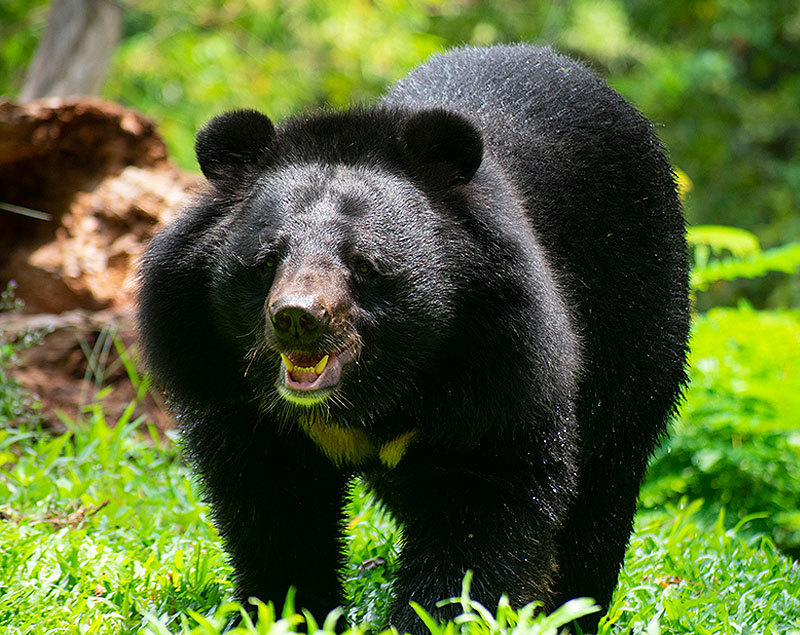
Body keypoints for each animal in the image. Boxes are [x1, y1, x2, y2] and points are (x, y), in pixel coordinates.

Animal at [138, 44, 690, 634]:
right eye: (266, 261)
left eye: (363, 264)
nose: (297, 317)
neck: (377, 388)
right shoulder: (235, 394)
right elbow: (274, 509)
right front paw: (287, 611)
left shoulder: (503, 374)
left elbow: (482, 510)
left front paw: (437, 616)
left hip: (639, 320)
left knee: (606, 480)